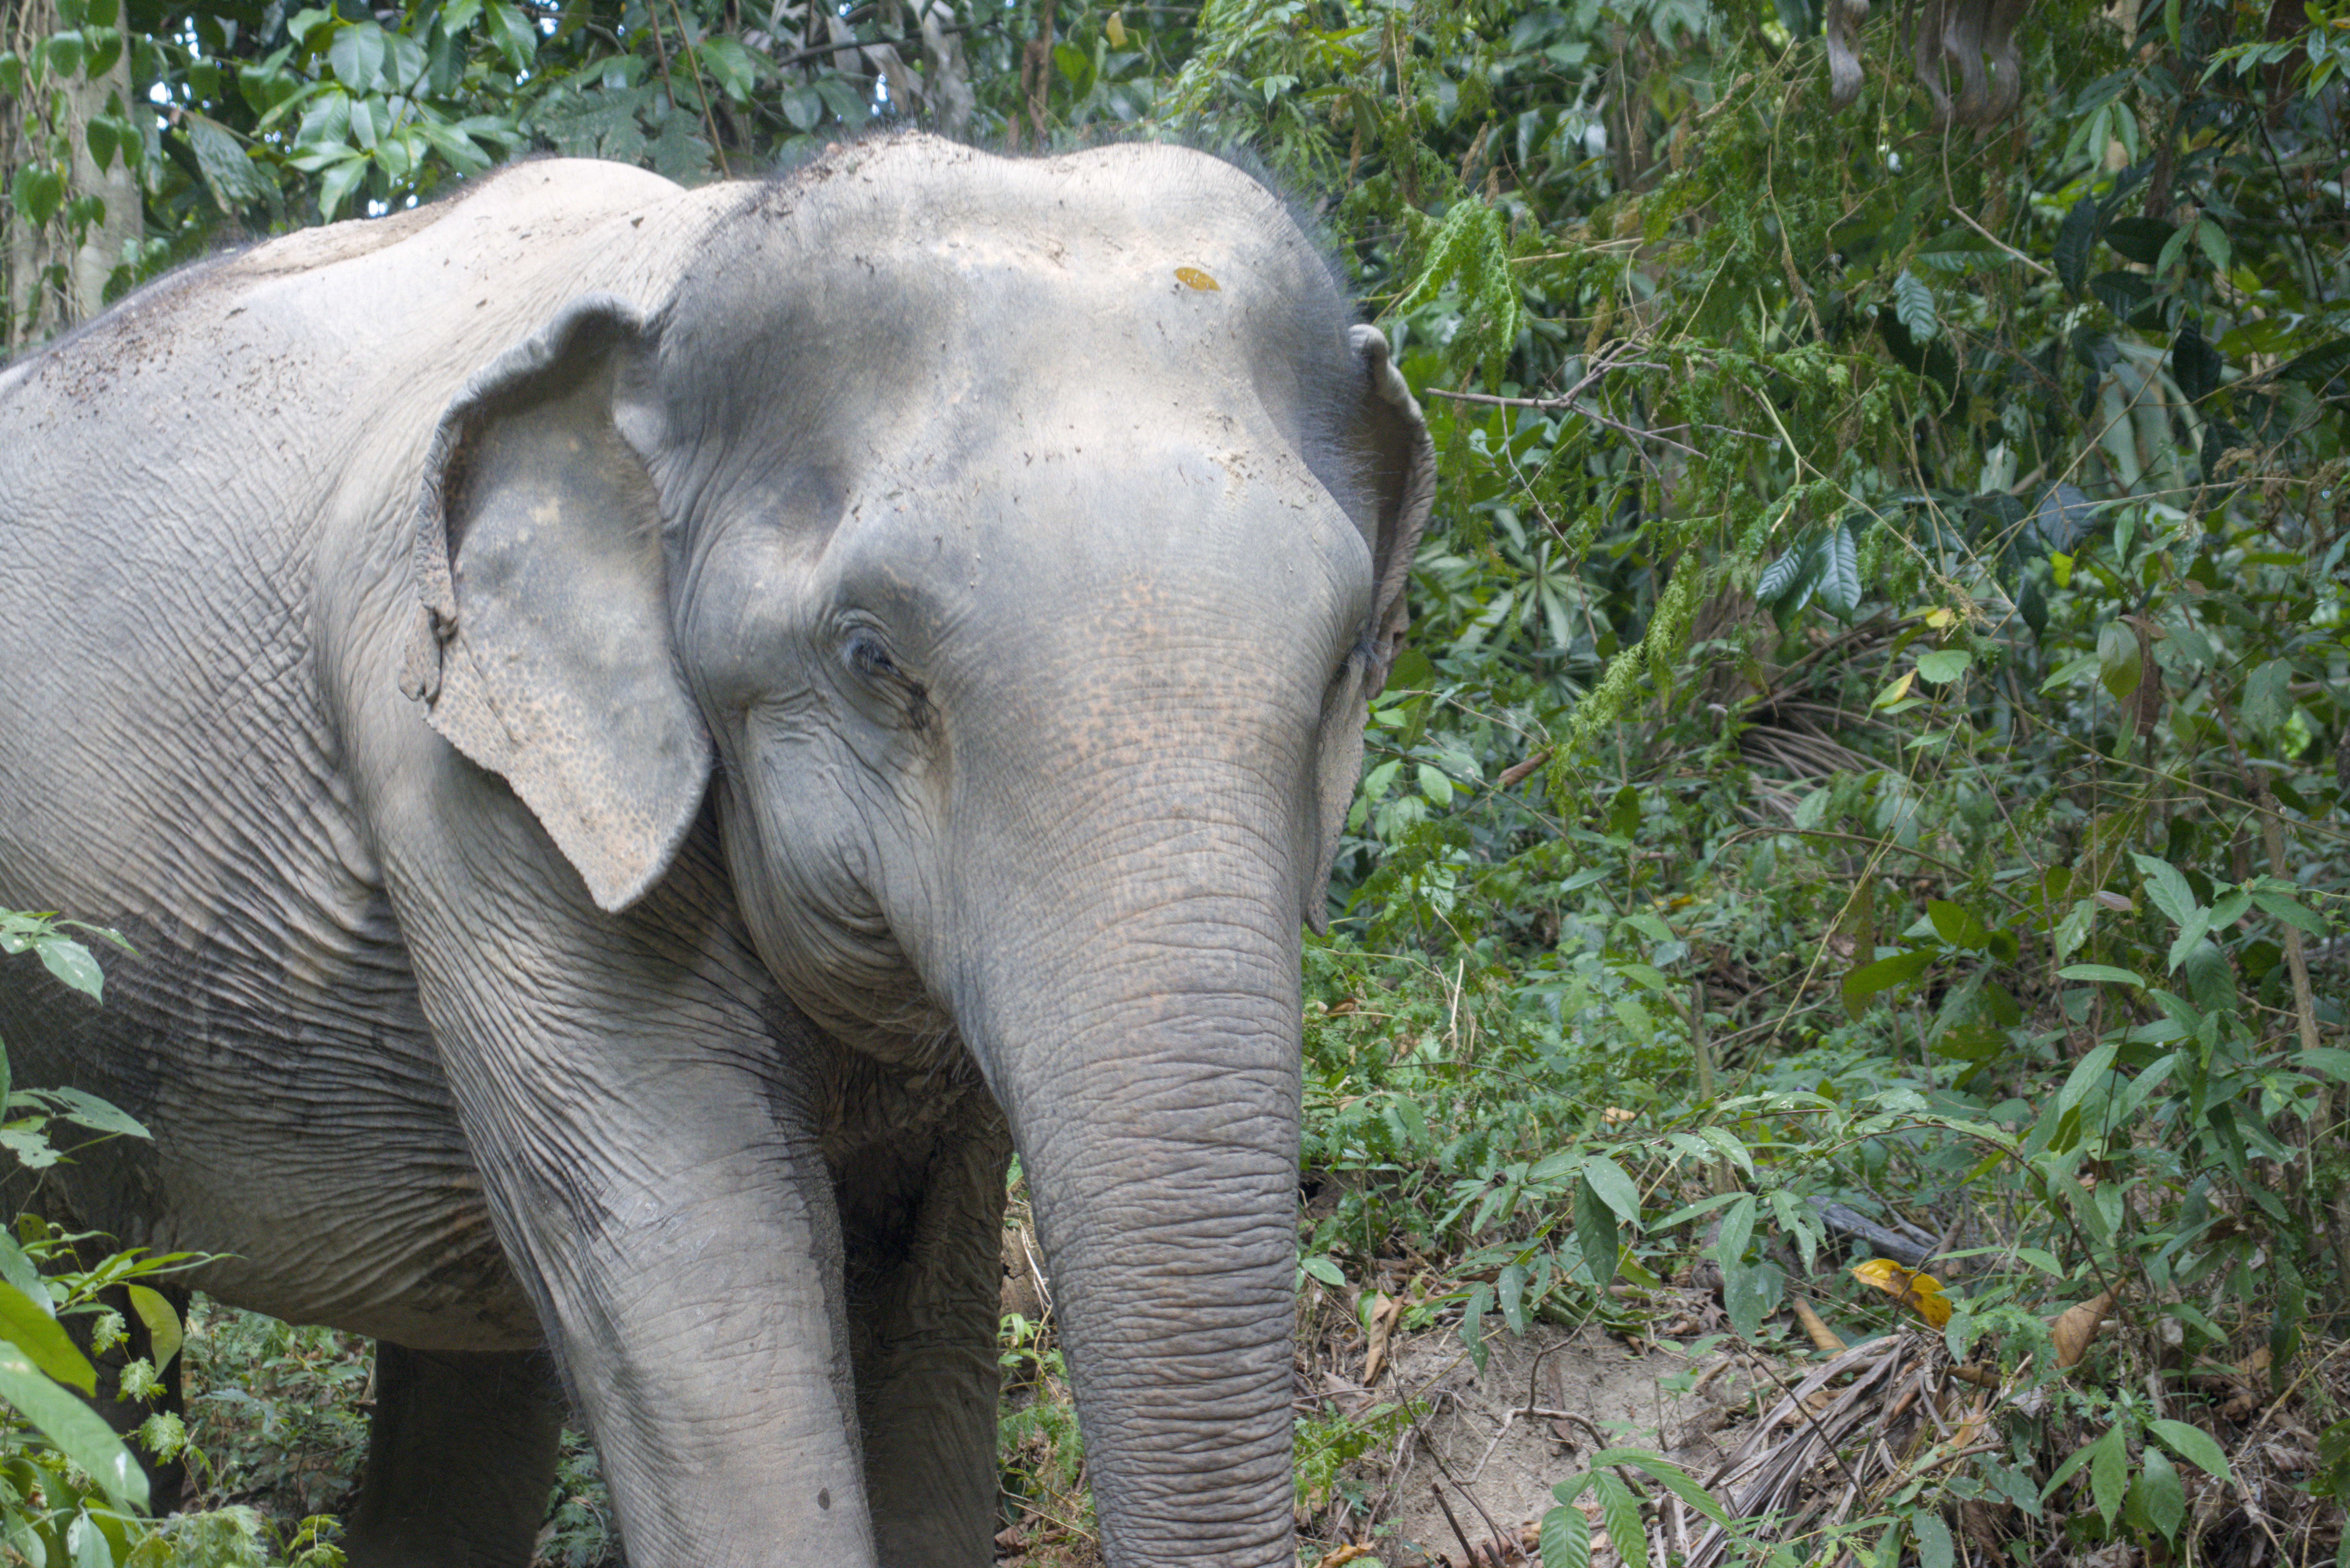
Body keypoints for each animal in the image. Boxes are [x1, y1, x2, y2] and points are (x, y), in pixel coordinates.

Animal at [0, 133, 1431, 1567]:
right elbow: (699, 1281)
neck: (688, 264)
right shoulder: (454, 777)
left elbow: (921, 1312)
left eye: (1343, 664)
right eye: (871, 658)